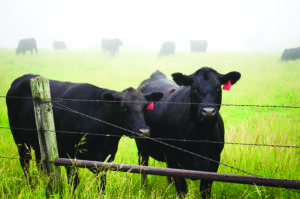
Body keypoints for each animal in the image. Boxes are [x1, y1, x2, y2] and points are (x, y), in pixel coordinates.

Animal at [5, 74, 163, 194]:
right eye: (124, 107)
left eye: (145, 106)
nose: (144, 131)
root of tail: (23, 78)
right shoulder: (69, 156)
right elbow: (74, 183)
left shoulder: (104, 161)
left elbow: (102, 186)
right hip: (20, 140)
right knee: (25, 162)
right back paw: (30, 186)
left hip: (38, 143)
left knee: (40, 164)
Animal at [136, 67, 241, 198]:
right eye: (194, 88)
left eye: (218, 87)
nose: (208, 111)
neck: (201, 136)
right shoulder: (173, 159)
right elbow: (181, 190)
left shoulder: (214, 161)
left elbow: (205, 190)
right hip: (141, 146)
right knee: (143, 166)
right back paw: (144, 188)